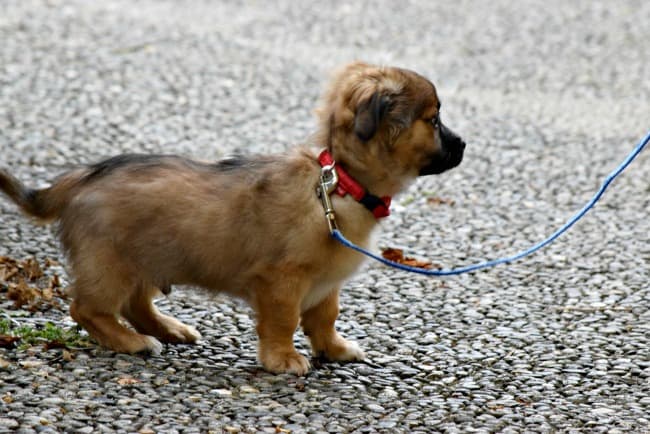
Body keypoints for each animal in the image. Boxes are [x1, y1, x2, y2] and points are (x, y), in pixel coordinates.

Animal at [1, 62, 466, 374]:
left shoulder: (325, 284)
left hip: (148, 258)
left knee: (135, 304)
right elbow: (284, 320)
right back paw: (133, 342)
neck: (340, 184)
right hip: (110, 265)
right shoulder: (282, 282)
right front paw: (283, 358)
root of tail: (77, 179)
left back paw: (169, 329)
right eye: (434, 119)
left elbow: (324, 317)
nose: (463, 144)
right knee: (87, 309)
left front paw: (333, 349)